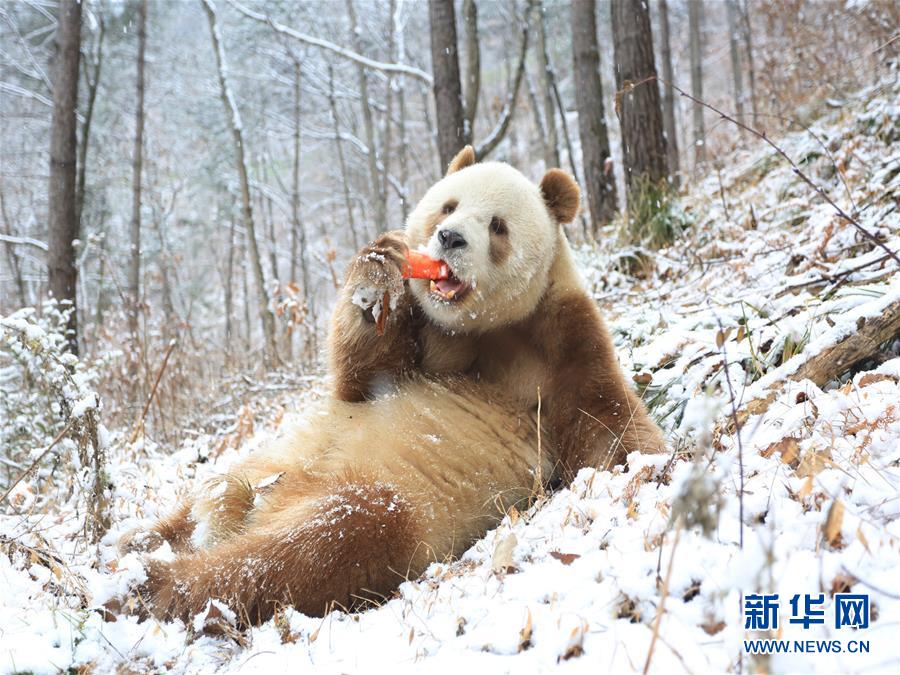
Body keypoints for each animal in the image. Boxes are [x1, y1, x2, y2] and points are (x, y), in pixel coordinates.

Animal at [123, 148, 664, 628]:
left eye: (497, 226)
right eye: (448, 206)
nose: (449, 237)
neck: (477, 329)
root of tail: (254, 509)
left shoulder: (560, 337)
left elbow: (607, 424)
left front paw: (645, 473)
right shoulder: (423, 335)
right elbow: (361, 379)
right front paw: (377, 273)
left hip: (397, 508)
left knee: (325, 541)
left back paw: (160, 584)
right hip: (279, 456)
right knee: (203, 501)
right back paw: (136, 547)